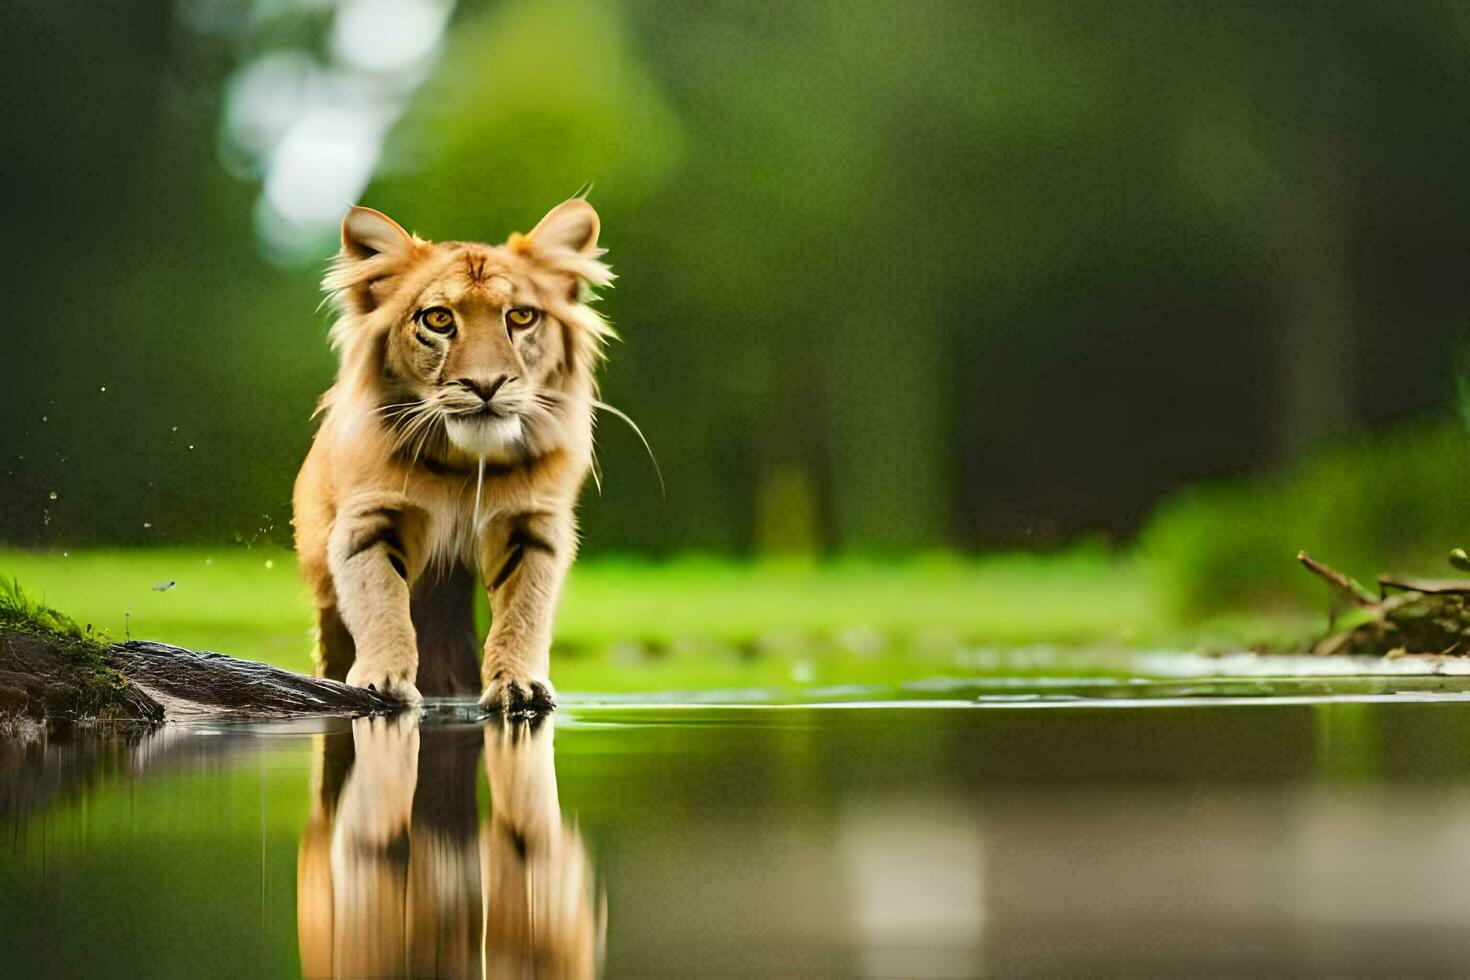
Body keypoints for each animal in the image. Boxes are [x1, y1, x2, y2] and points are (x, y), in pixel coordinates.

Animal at [292, 195, 614, 708]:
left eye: (521, 317)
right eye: (439, 319)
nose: (486, 385)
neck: (463, 466)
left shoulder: (533, 521)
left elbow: (524, 612)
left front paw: (520, 688)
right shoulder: (369, 517)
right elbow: (381, 600)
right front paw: (383, 682)